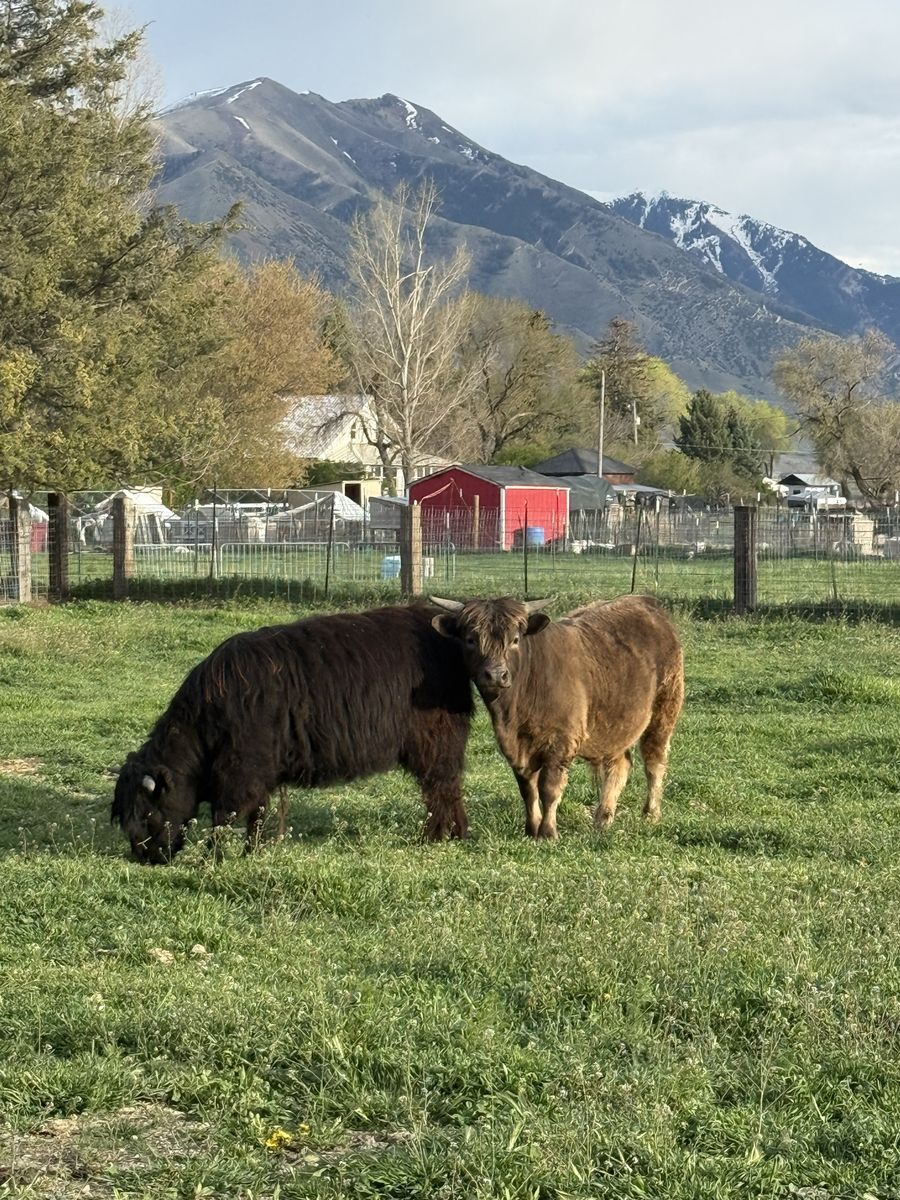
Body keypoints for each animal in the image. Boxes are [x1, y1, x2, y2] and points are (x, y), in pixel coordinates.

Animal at [111, 604, 474, 863]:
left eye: (147, 812)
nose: (144, 857)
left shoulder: (241, 771)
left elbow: (224, 818)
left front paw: (211, 859)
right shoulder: (257, 775)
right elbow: (256, 815)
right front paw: (251, 852)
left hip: (437, 744)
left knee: (441, 788)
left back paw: (438, 835)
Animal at [429, 594, 684, 841]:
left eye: (515, 640)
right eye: (470, 639)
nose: (496, 674)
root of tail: (644, 601)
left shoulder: (561, 742)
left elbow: (549, 788)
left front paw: (548, 831)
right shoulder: (517, 750)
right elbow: (528, 789)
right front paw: (531, 828)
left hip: (664, 710)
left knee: (654, 762)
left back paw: (651, 813)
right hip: (617, 725)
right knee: (620, 764)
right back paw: (603, 818)